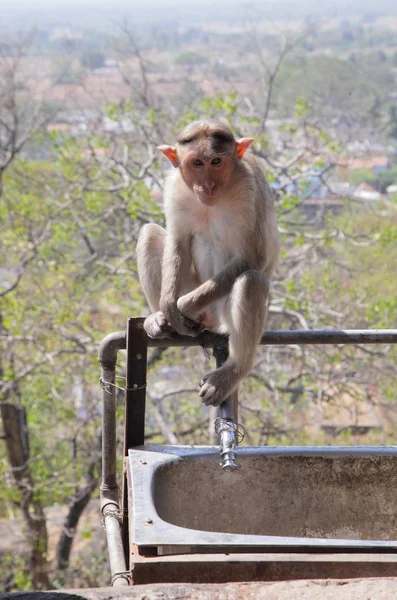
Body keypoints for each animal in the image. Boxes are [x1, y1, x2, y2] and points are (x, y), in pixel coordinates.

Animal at [137, 117, 278, 408]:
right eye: (197, 163)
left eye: (216, 161)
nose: (208, 186)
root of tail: (211, 319)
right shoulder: (174, 188)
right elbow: (178, 241)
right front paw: (167, 307)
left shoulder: (250, 190)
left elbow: (253, 257)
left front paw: (182, 307)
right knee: (148, 235)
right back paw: (158, 318)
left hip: (222, 315)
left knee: (251, 281)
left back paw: (232, 371)